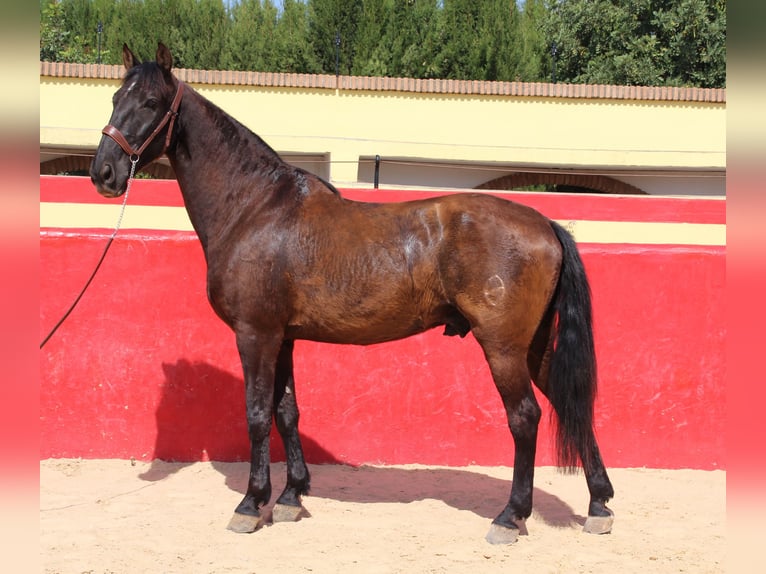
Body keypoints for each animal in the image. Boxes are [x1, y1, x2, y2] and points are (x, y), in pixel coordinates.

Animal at [90, 42, 614, 545]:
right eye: (115, 98)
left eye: (151, 103)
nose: (104, 173)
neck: (255, 208)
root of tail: (545, 223)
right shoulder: (283, 338)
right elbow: (287, 413)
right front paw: (291, 496)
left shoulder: (256, 334)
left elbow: (257, 415)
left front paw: (251, 504)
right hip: (533, 347)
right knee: (571, 406)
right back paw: (598, 505)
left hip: (503, 347)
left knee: (525, 418)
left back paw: (510, 517)